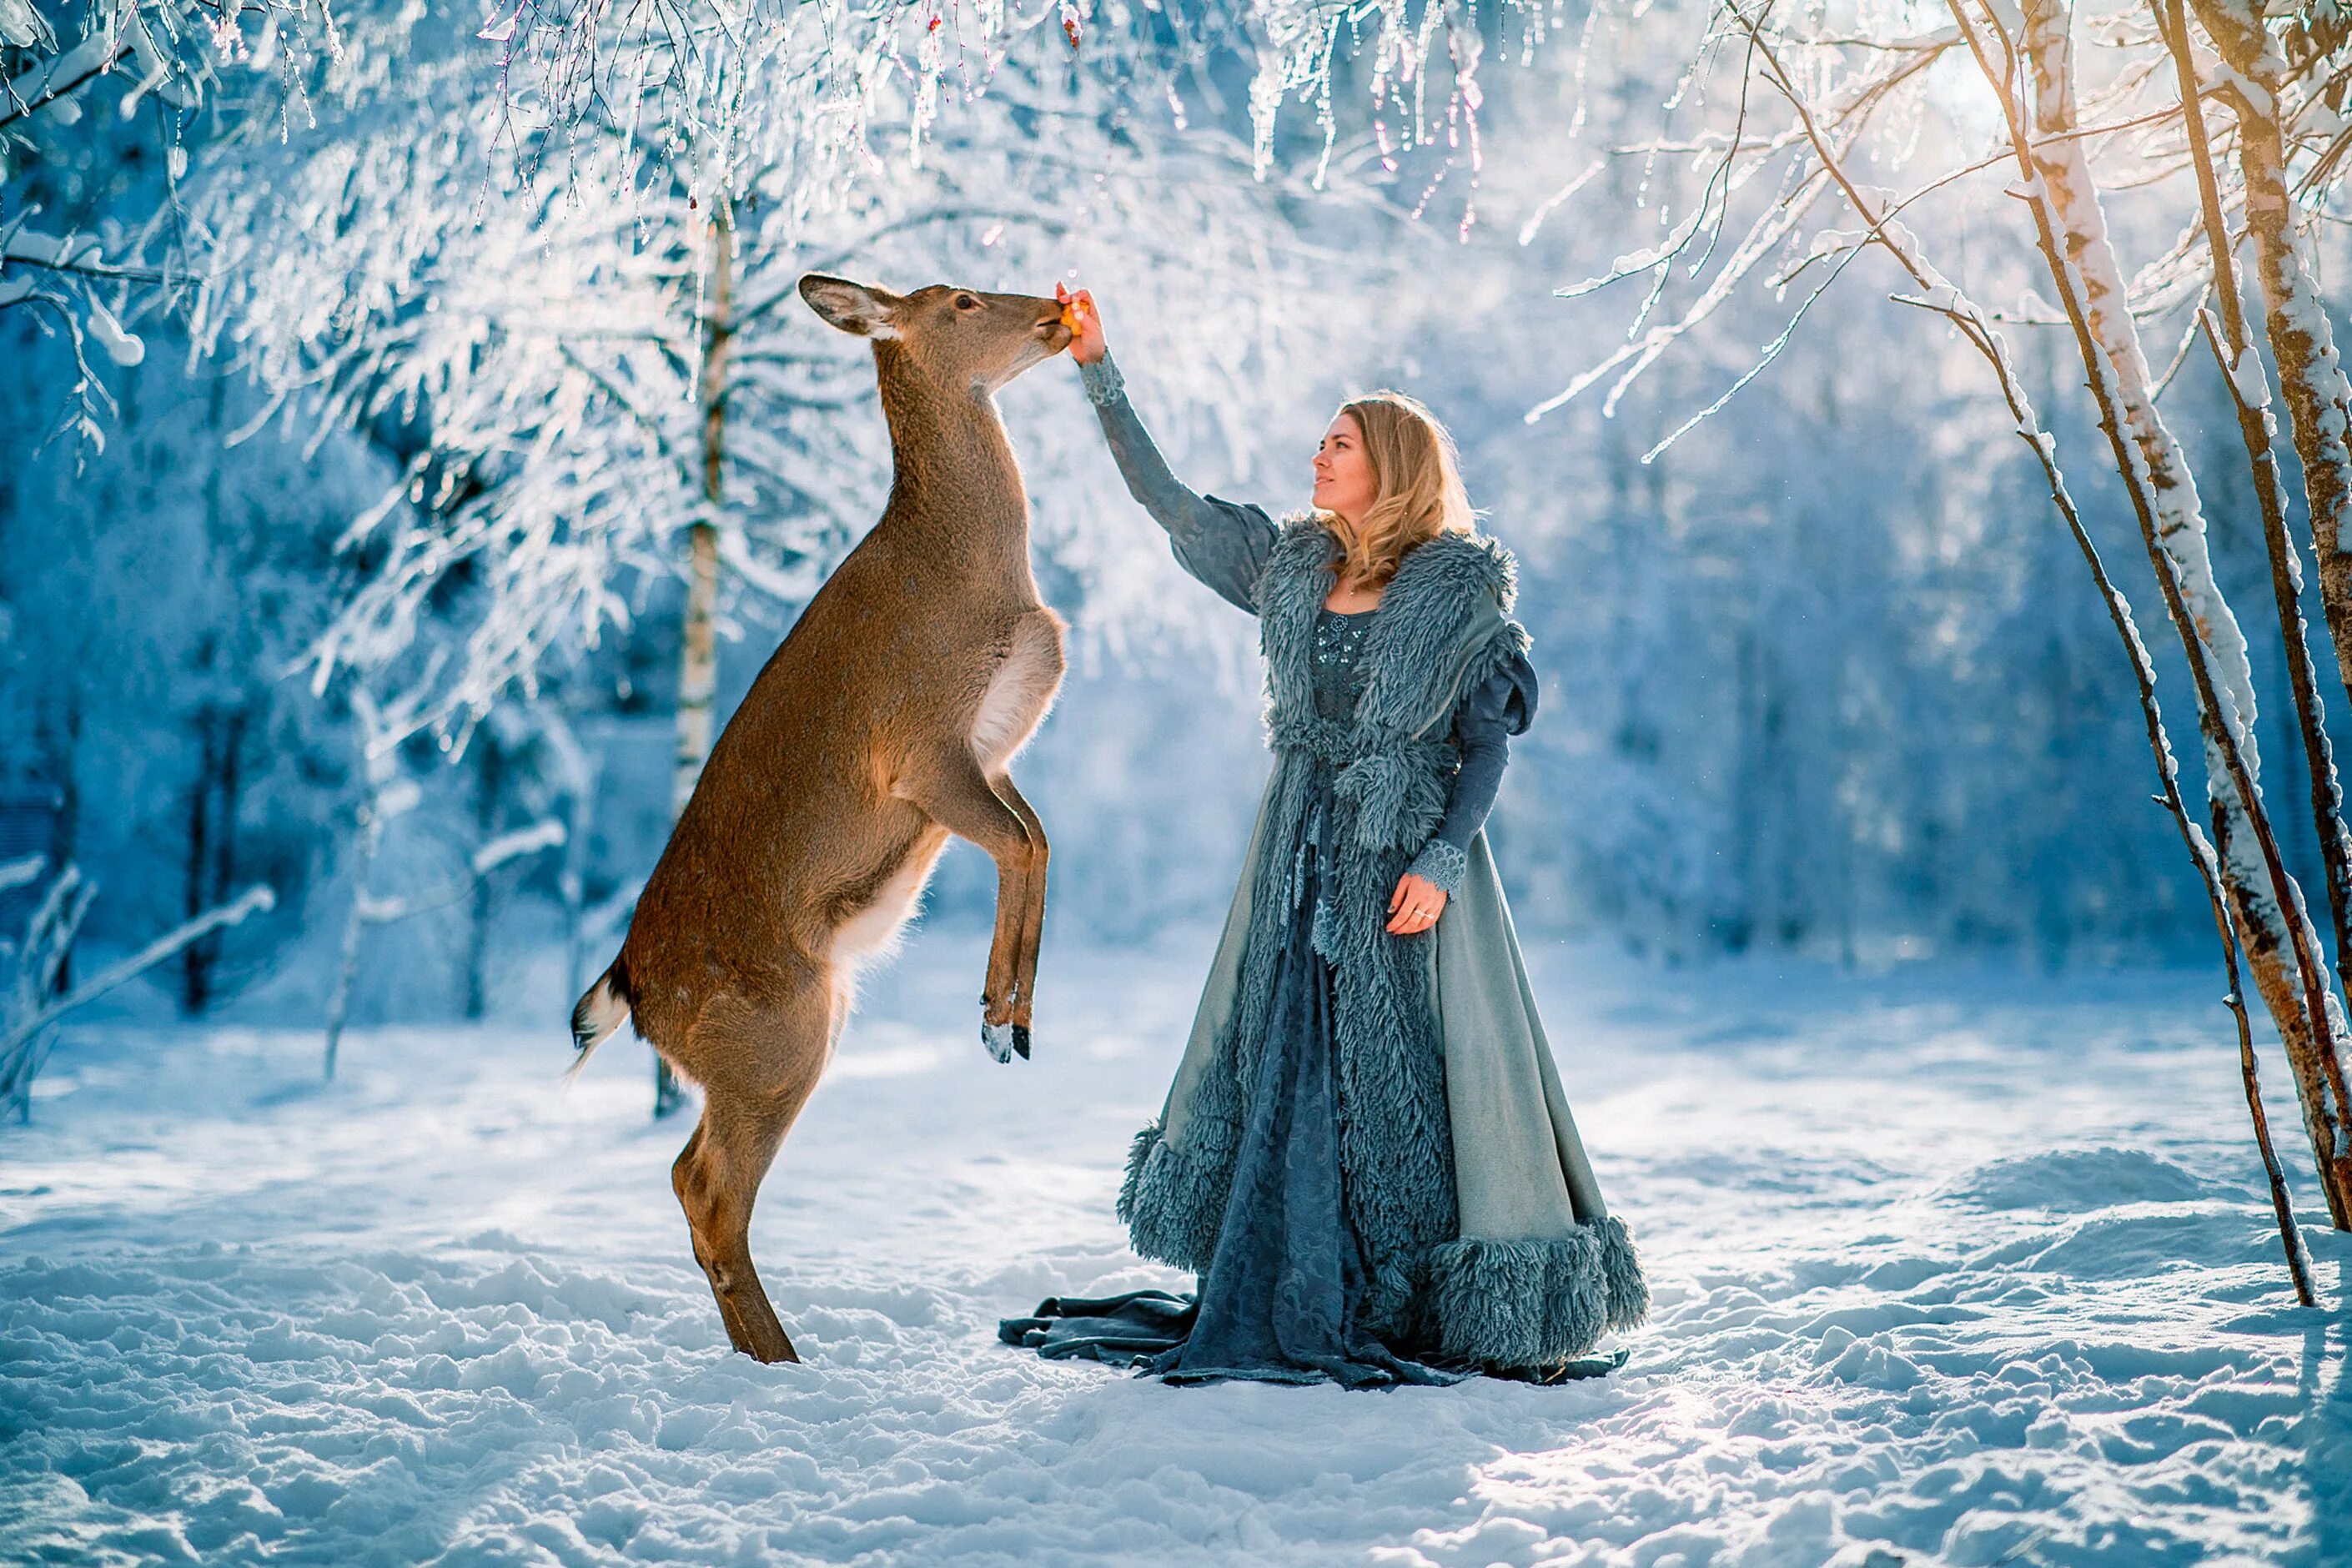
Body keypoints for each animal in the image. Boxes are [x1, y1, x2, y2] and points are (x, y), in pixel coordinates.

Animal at [569, 270, 1077, 1363]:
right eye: (962, 299)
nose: (1058, 312)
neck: (974, 574)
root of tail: (633, 988)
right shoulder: (921, 748)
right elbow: (1020, 844)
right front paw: (998, 1017)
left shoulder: (990, 753)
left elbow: (1040, 838)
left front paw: (1011, 1013)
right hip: (777, 1034)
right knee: (710, 1189)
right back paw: (787, 1361)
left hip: (782, 1036)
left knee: (686, 1175)